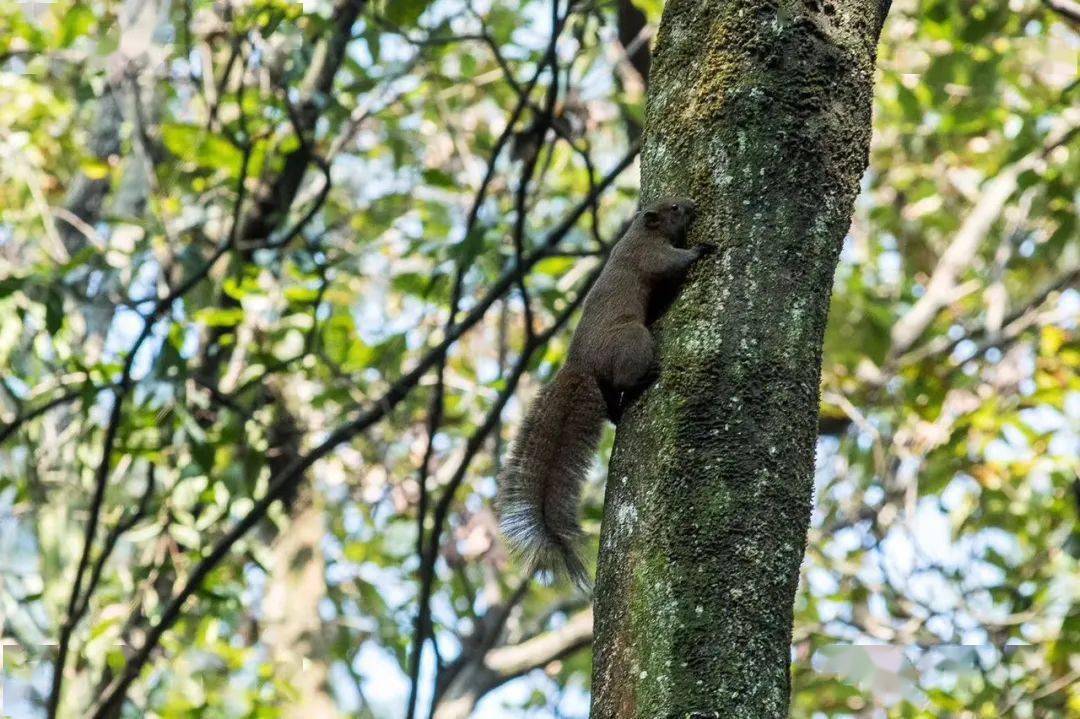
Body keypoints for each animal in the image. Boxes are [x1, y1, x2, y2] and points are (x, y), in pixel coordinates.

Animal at [498, 197, 708, 587]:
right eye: (673, 208)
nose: (691, 204)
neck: (640, 233)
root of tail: (580, 364)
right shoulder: (651, 255)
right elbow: (672, 263)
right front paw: (700, 249)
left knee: (612, 403)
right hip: (632, 338)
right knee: (625, 380)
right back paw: (645, 379)